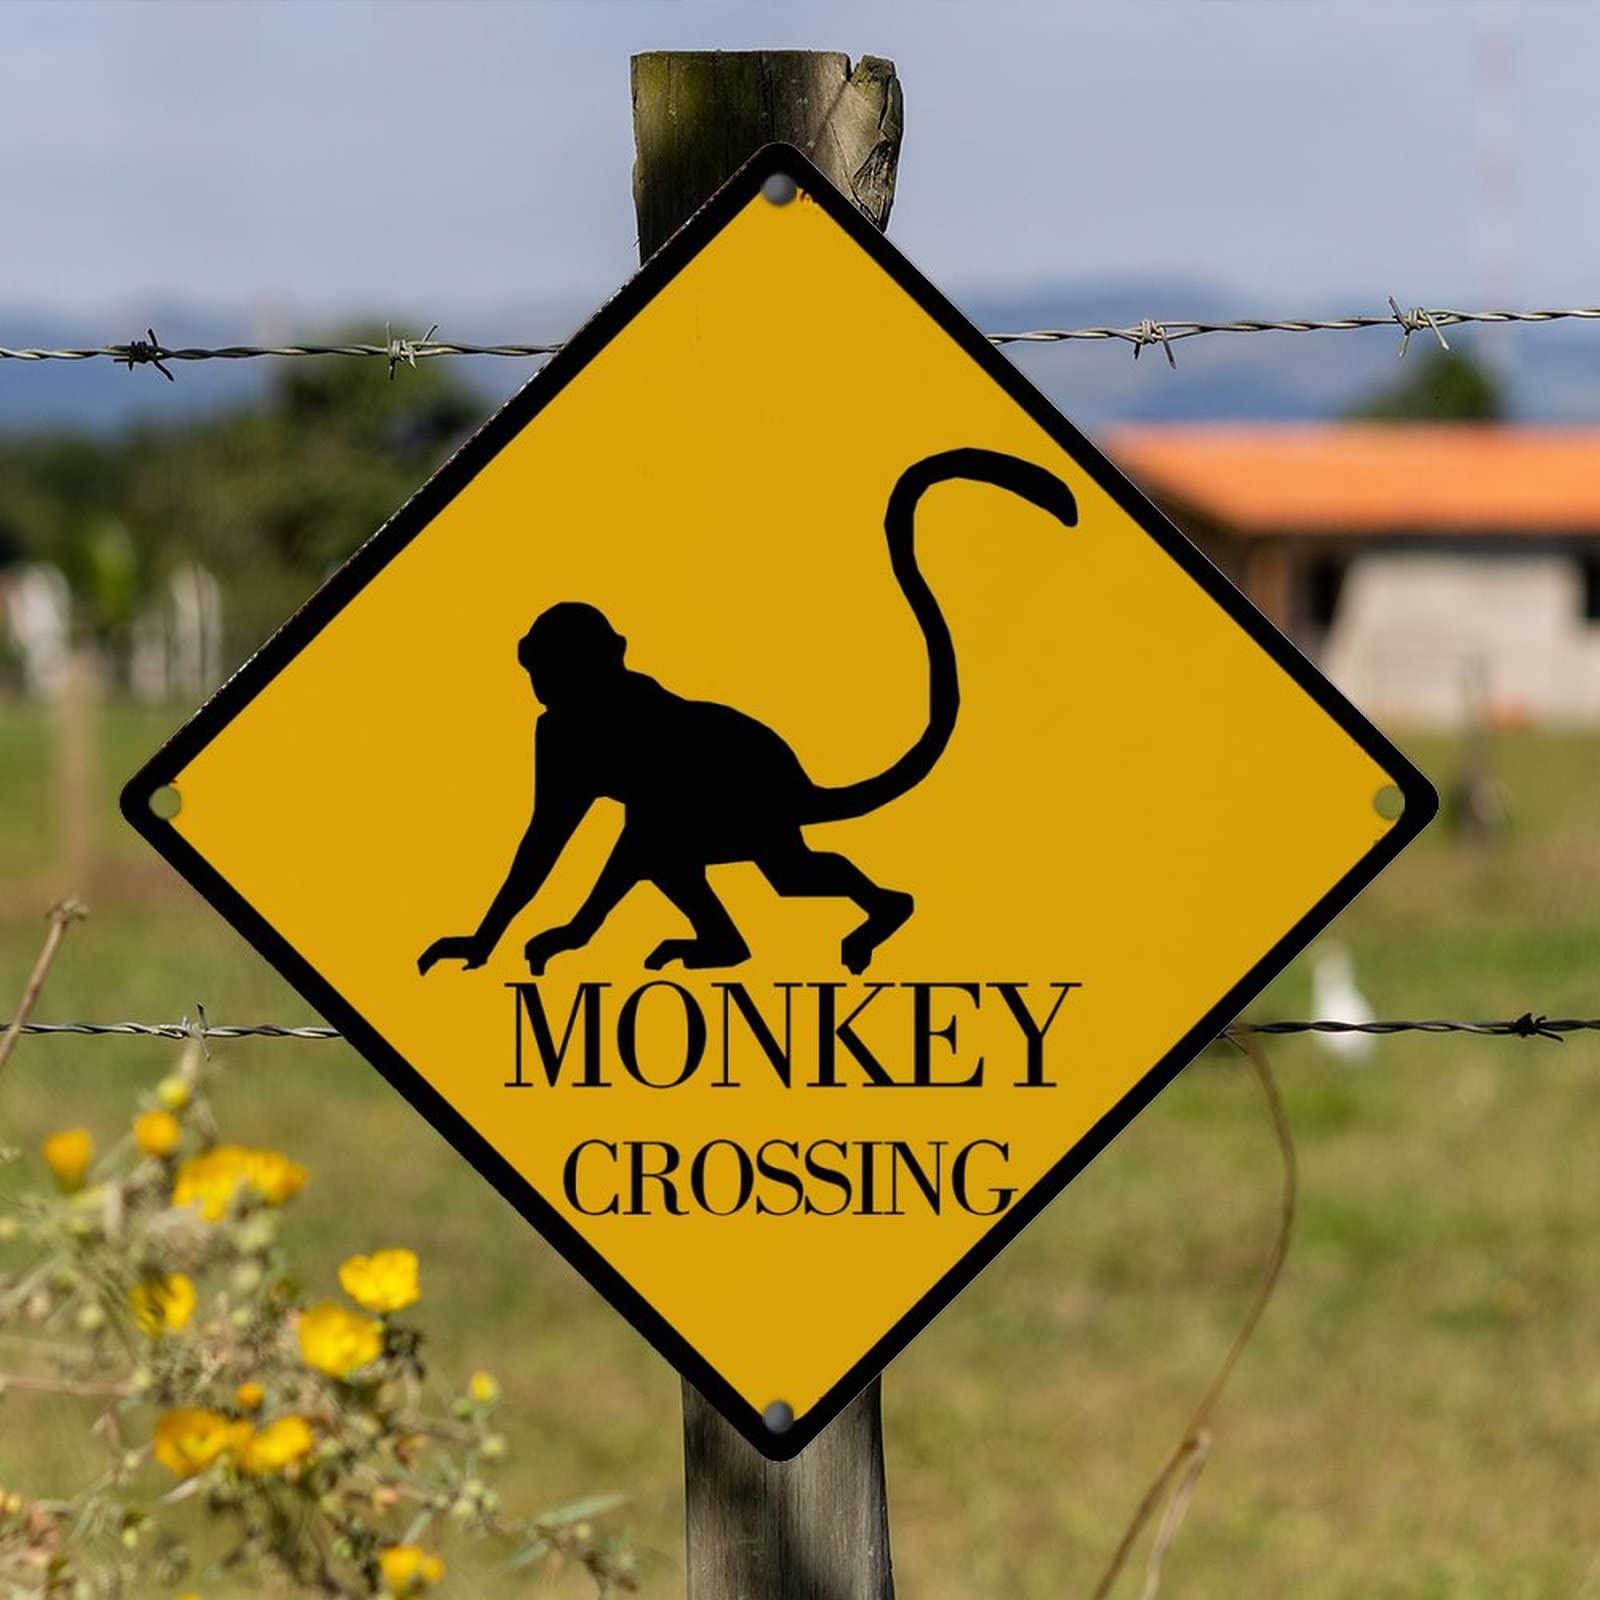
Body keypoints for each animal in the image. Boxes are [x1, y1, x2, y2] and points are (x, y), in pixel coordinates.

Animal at [417, 447, 1079, 980]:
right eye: (559, 656)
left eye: (591, 651)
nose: (578, 675)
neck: (596, 705)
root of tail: (797, 786)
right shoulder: (554, 732)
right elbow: (547, 840)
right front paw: (483, 942)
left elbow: (630, 834)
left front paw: (566, 937)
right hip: (759, 827)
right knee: (772, 870)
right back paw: (731, 948)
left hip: (750, 816)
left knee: (722, 858)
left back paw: (868, 915)